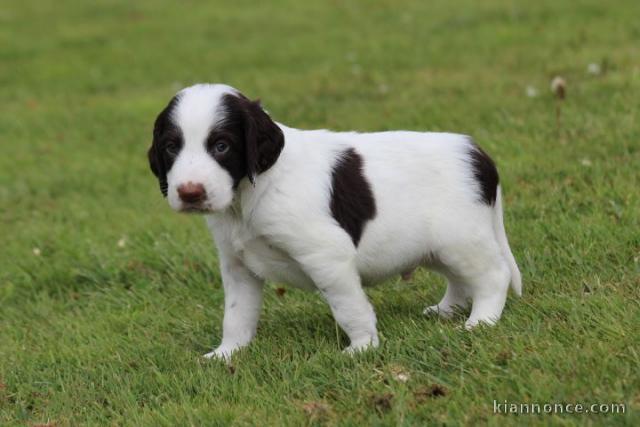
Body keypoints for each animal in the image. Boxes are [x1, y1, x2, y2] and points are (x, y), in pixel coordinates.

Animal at [148, 85, 524, 360]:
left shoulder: (326, 255)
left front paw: (362, 347)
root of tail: (478, 154)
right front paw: (228, 353)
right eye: (171, 148)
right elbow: (236, 315)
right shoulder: (238, 265)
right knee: (460, 279)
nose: (190, 192)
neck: (248, 197)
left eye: (222, 146)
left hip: (460, 238)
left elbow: (348, 307)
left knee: (493, 275)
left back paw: (481, 321)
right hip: (437, 247)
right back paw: (446, 311)